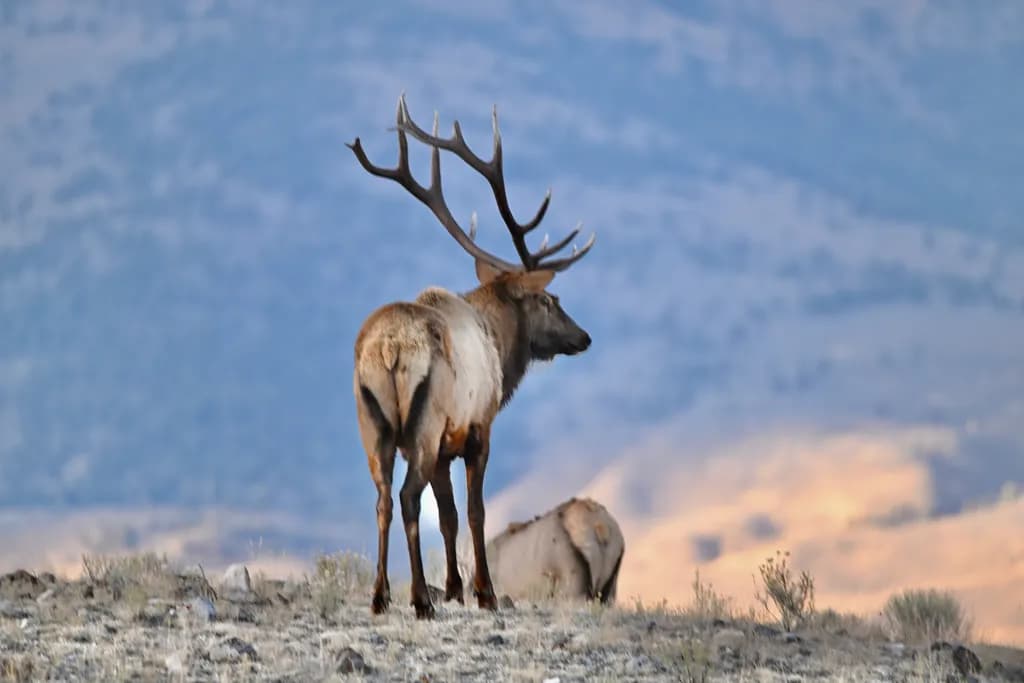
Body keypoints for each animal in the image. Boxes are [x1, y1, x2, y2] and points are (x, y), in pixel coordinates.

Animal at [345, 94, 596, 619]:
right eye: (549, 300)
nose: (583, 336)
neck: (499, 344)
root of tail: (389, 347)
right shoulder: (477, 428)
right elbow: (475, 512)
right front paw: (483, 592)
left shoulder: (445, 446)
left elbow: (448, 516)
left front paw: (455, 588)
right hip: (422, 424)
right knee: (407, 497)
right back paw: (419, 599)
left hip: (372, 423)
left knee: (382, 499)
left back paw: (380, 596)